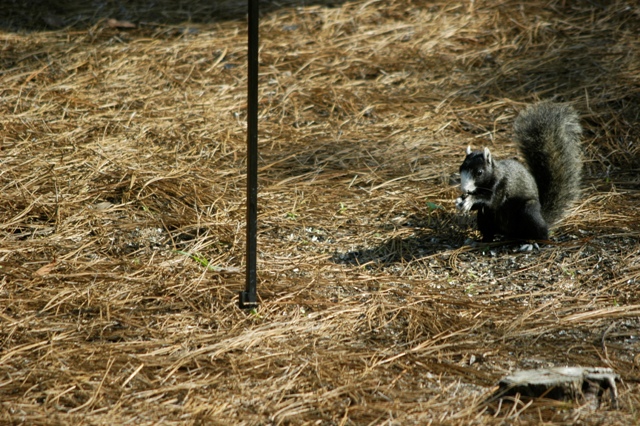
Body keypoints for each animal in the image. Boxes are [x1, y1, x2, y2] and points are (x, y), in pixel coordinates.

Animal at [455, 102, 583, 242]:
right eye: (460, 168)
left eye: (479, 172)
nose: (465, 189)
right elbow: (484, 204)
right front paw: (460, 201)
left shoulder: (501, 185)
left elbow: (491, 201)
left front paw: (470, 200)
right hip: (485, 218)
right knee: (488, 230)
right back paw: (483, 240)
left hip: (529, 211)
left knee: (542, 232)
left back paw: (535, 241)